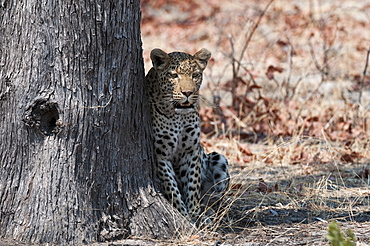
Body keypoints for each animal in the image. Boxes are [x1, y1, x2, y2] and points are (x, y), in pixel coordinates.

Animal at [146, 47, 230, 219]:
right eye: (173, 75)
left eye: (195, 75)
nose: (187, 93)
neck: (178, 116)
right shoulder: (161, 155)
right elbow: (171, 188)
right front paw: (184, 215)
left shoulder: (191, 151)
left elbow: (192, 184)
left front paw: (194, 213)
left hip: (219, 159)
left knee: (215, 198)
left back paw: (209, 211)